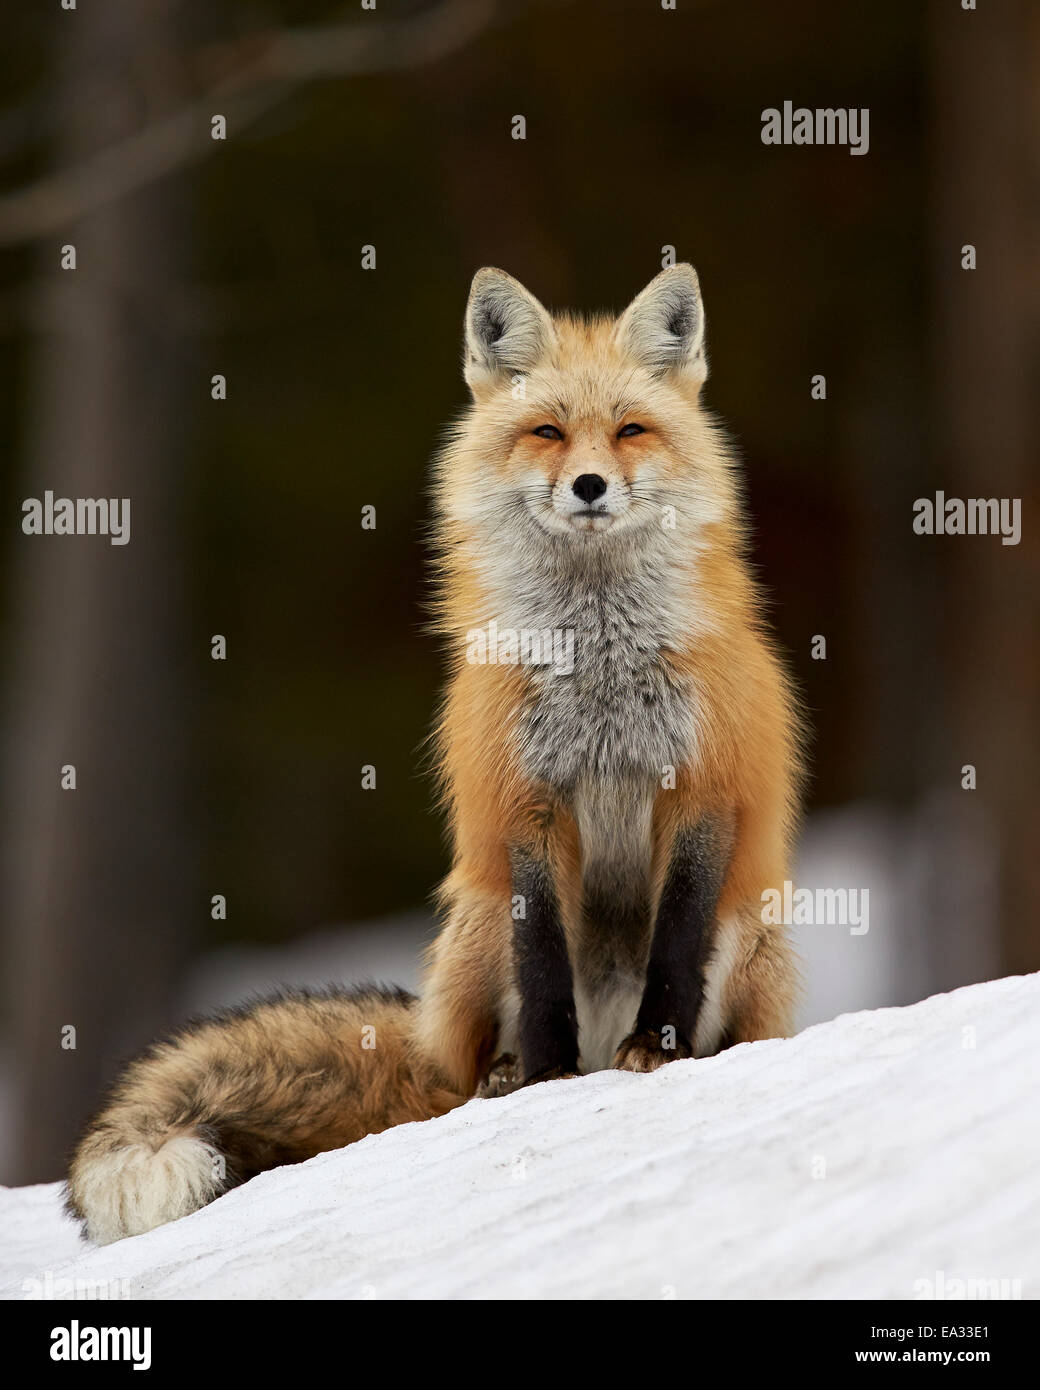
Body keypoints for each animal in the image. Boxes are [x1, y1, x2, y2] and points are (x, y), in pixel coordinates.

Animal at [67, 265, 806, 1245]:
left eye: (630, 430)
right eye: (547, 432)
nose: (590, 485)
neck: (599, 661)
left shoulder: (701, 791)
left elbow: (677, 943)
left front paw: (664, 1051)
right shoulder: (523, 804)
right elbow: (542, 968)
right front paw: (548, 1079)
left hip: (752, 934)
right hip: (476, 925)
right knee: (469, 1063)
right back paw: (503, 1077)